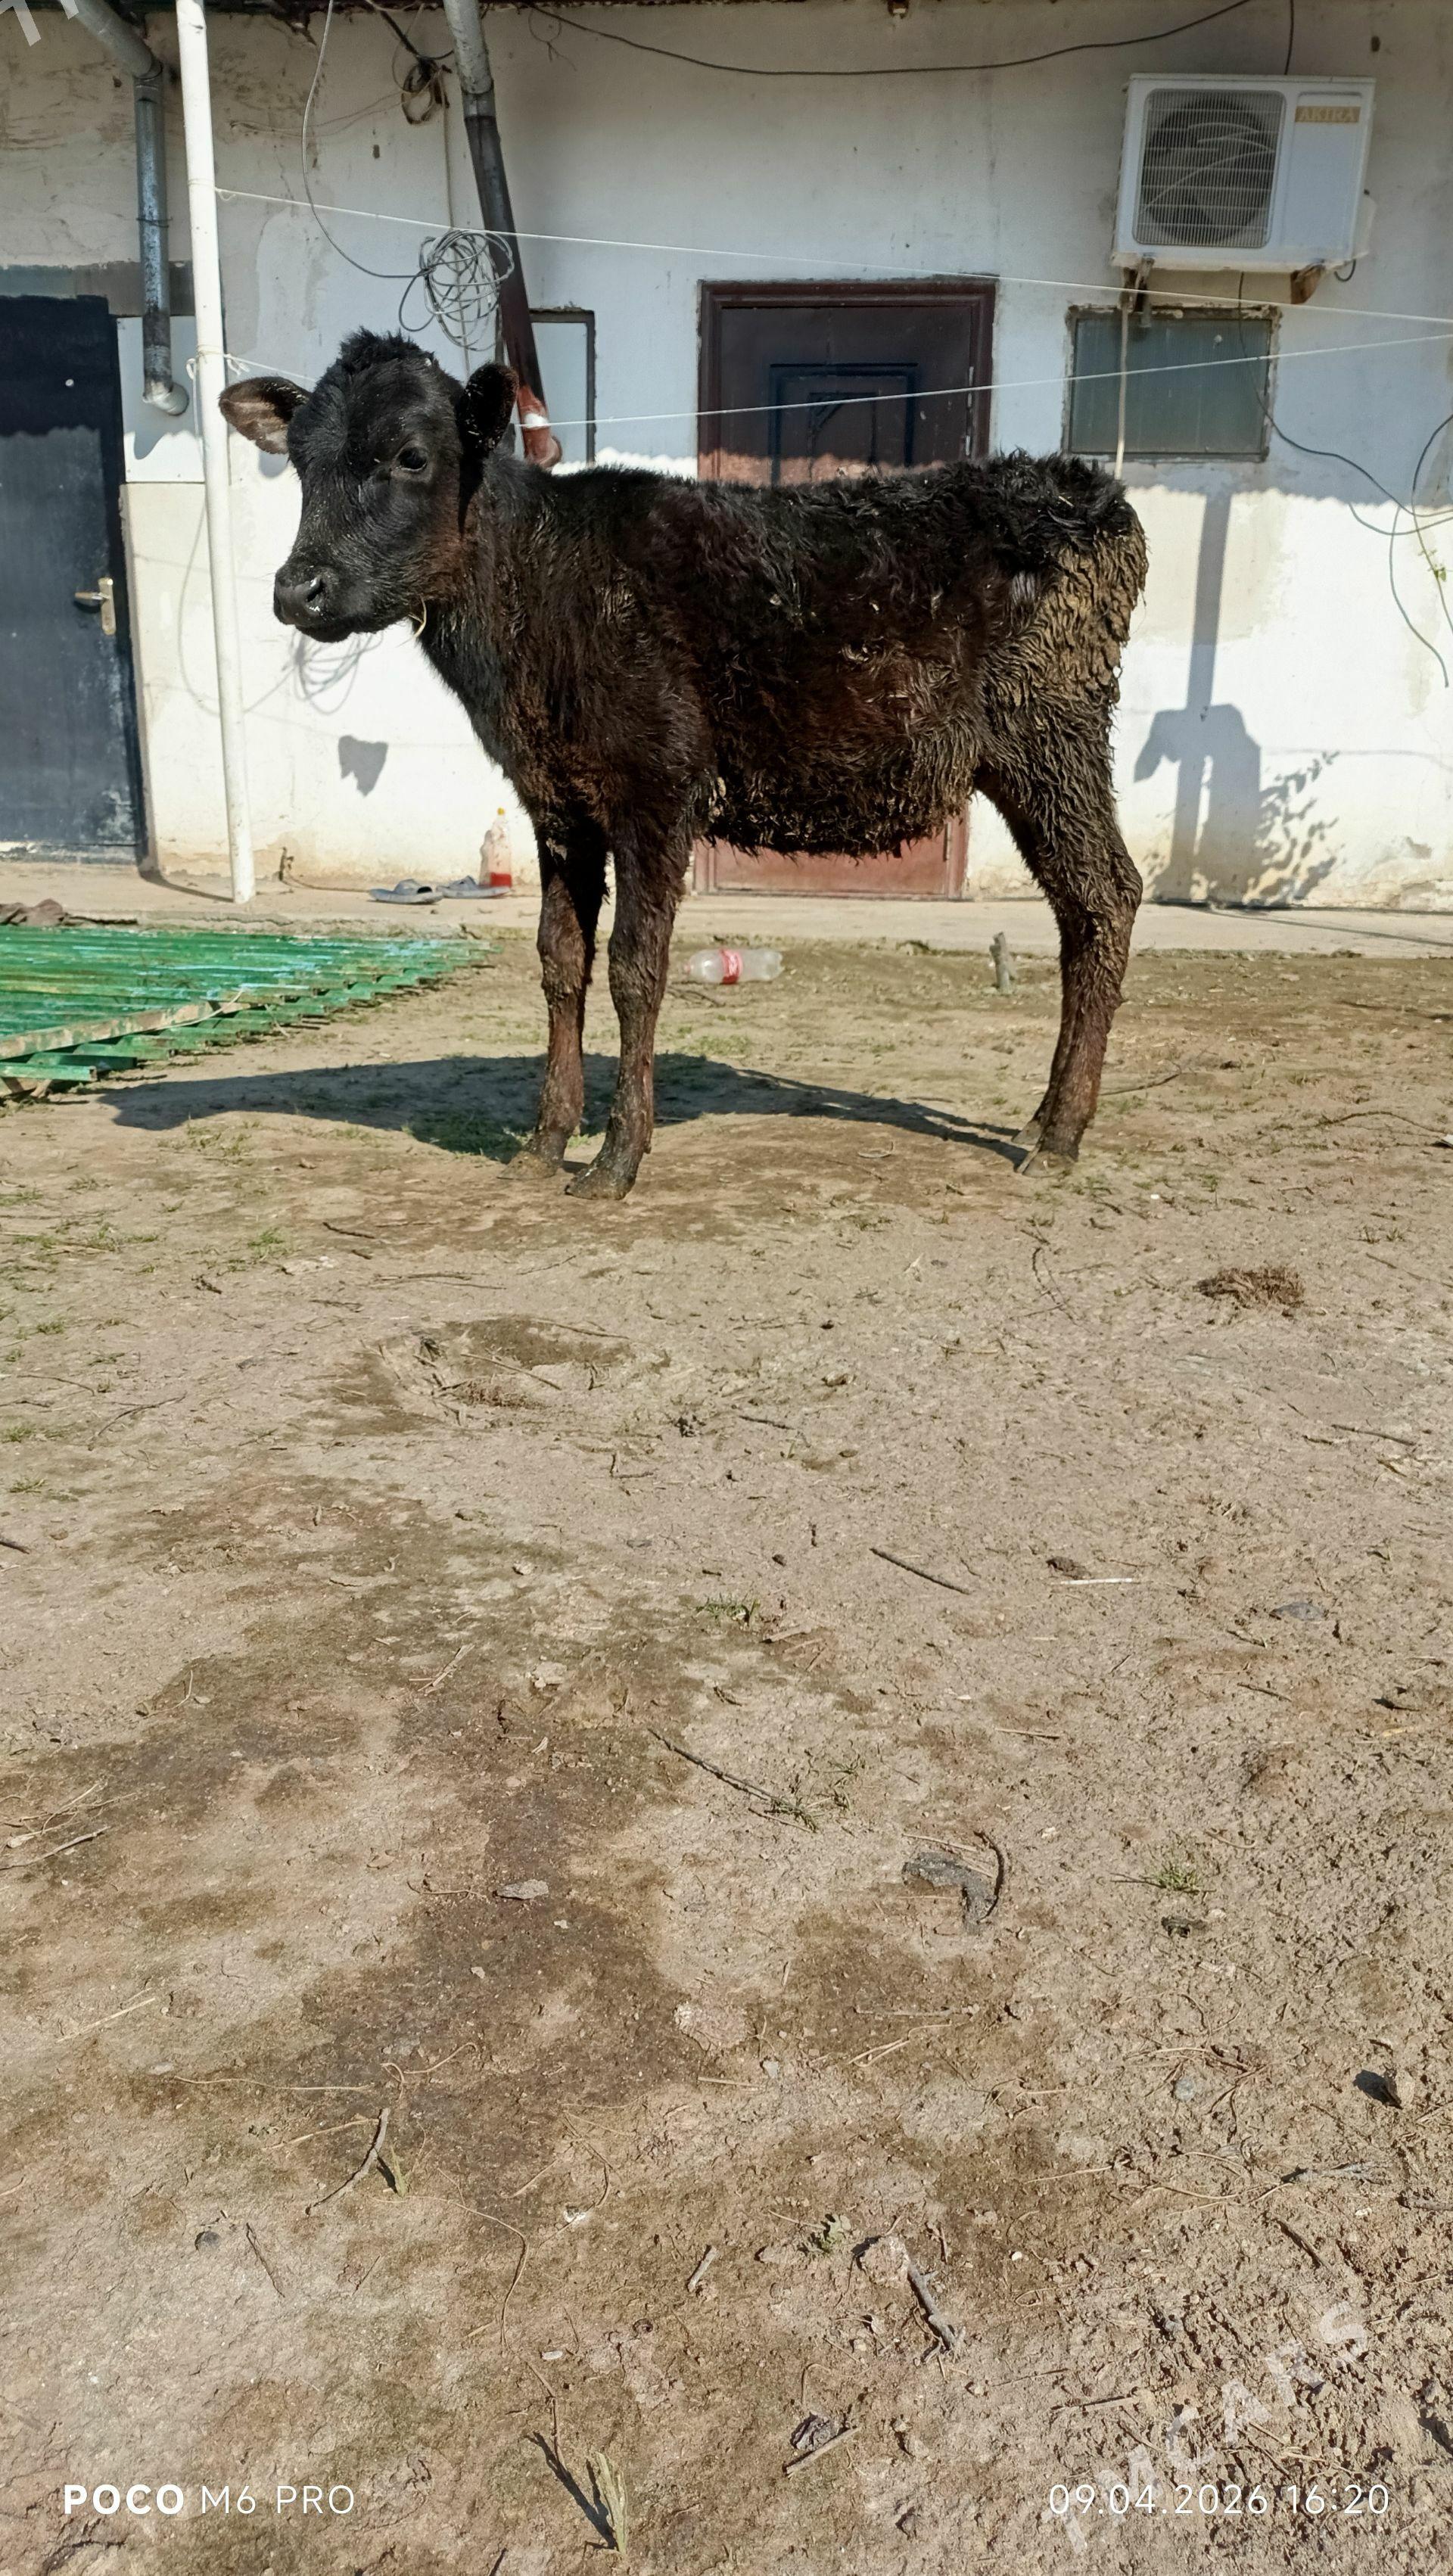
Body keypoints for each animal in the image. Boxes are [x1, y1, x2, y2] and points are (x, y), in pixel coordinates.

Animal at [221, 333, 1146, 1199]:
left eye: (411, 456)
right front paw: (545, 1142)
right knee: (1079, 910)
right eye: (299, 460)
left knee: (1106, 894)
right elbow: (561, 961)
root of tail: (1078, 487)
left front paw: (616, 1158)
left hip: (1051, 733)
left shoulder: (657, 785)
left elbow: (636, 967)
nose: (298, 589)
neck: (537, 587)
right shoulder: (557, 801)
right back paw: (1044, 1116)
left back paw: (1062, 1135)